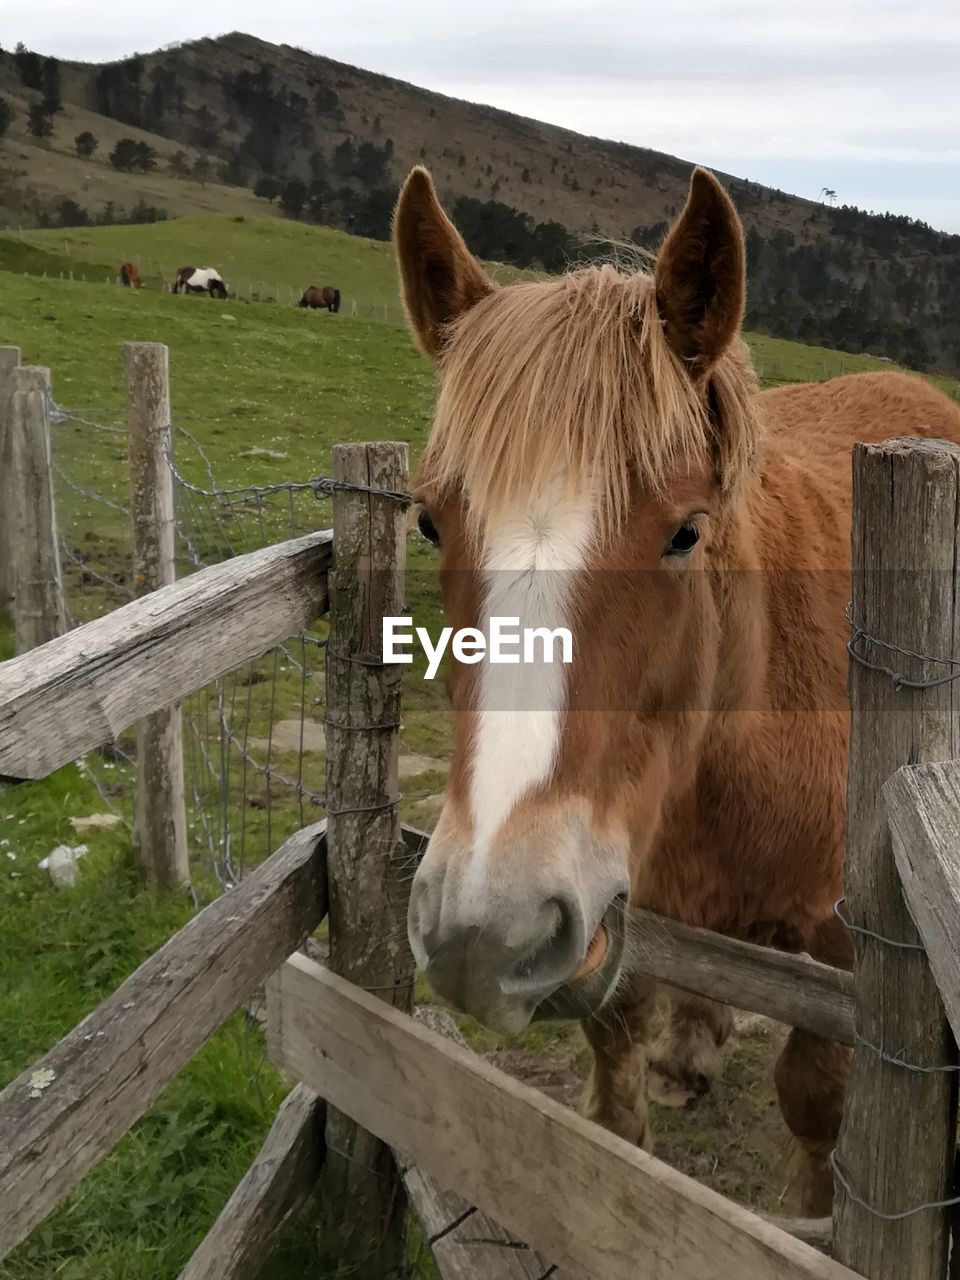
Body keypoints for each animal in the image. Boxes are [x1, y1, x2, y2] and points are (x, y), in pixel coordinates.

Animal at [394, 165, 960, 1213]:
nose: (486, 932)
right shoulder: (625, 905)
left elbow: (818, 1103)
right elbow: (615, 1076)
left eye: (686, 532)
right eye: (428, 522)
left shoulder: (847, 953)